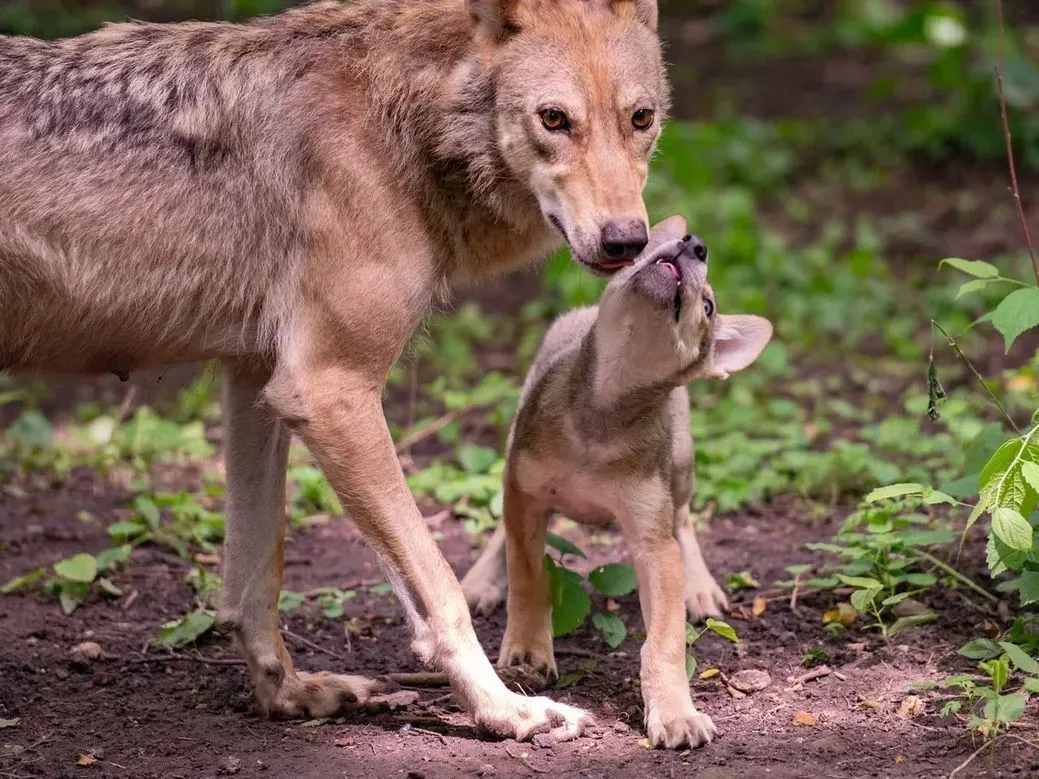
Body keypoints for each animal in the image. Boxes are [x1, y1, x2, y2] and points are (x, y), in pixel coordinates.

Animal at [0, 0, 669, 743]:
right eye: (554, 119)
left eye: (641, 118)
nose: (626, 241)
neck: (402, 123)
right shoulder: (328, 390)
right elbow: (441, 585)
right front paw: (505, 709)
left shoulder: (256, 382)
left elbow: (254, 580)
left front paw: (286, 694)